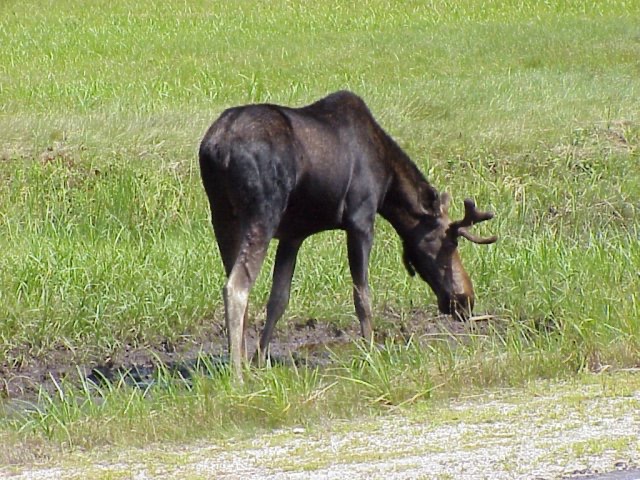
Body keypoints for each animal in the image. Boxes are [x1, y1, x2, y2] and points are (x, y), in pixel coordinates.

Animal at [198, 91, 498, 378]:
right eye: (449, 242)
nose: (466, 299)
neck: (388, 183)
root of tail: (216, 147)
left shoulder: (293, 235)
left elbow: (278, 299)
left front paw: (260, 360)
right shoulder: (360, 221)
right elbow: (362, 296)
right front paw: (371, 353)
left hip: (222, 216)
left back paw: (241, 361)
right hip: (262, 213)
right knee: (236, 287)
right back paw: (237, 374)